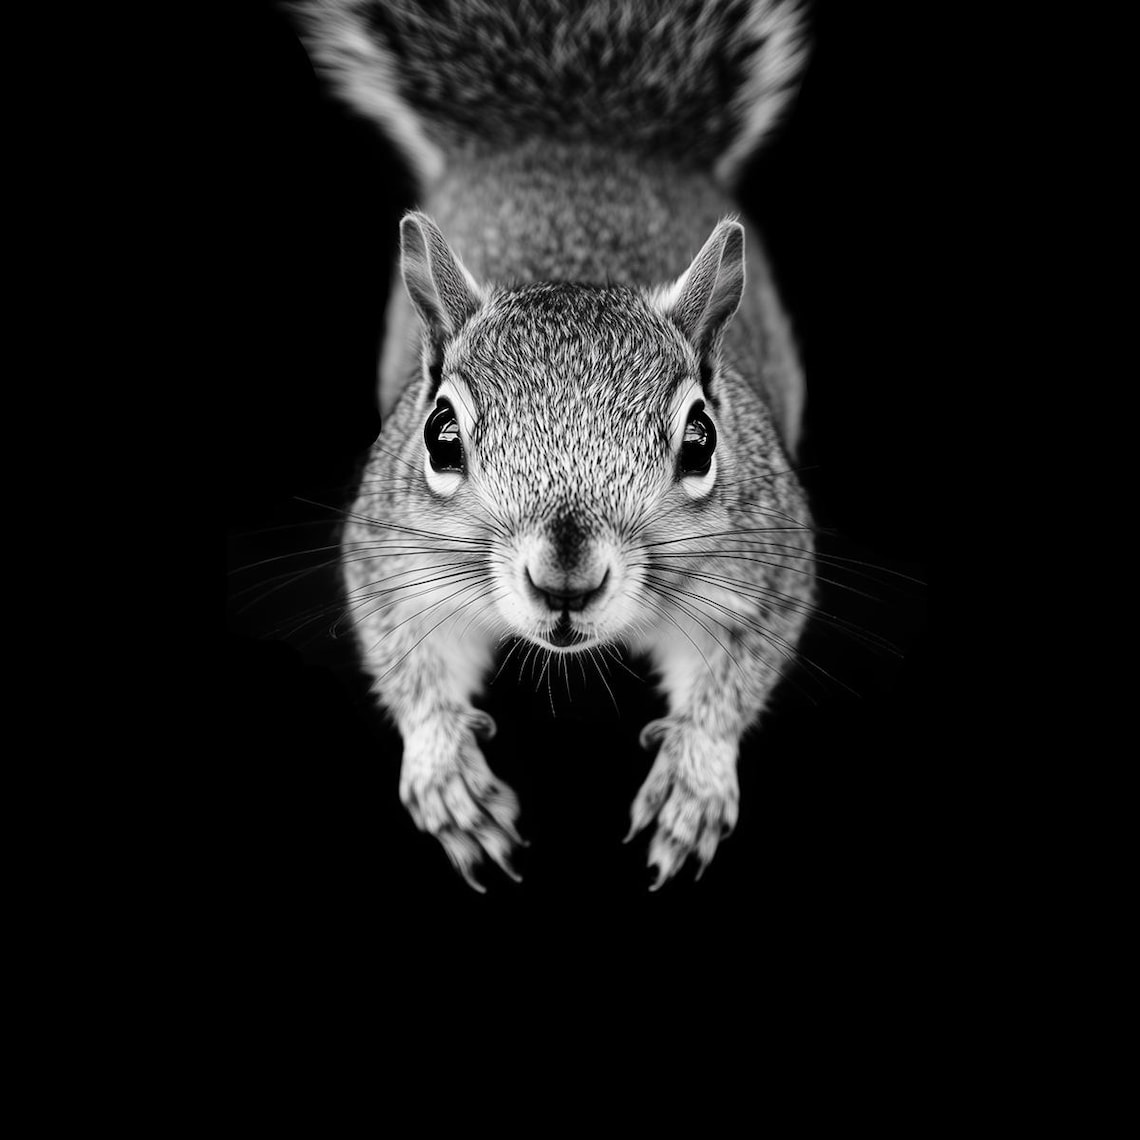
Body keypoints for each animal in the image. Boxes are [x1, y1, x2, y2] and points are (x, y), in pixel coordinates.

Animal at [292, 0, 814, 891]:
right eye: (440, 435)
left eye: (701, 440)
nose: (564, 580)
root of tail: (576, 133)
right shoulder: (389, 553)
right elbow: (405, 654)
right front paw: (446, 773)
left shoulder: (769, 561)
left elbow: (737, 671)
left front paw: (695, 777)